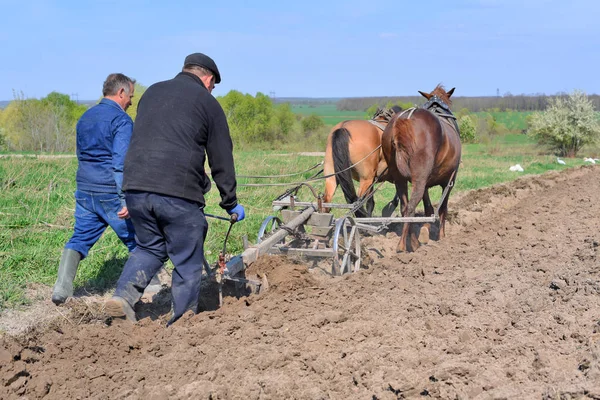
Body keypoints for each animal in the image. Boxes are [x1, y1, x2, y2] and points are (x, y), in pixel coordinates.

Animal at [382, 85, 462, 252]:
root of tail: (404, 120)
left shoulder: (425, 181)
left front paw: (424, 232)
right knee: (411, 206)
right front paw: (442, 237)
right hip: (420, 177)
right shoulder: (449, 181)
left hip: (401, 178)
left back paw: (414, 243)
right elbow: (443, 208)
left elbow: (428, 207)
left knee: (405, 207)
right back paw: (402, 245)